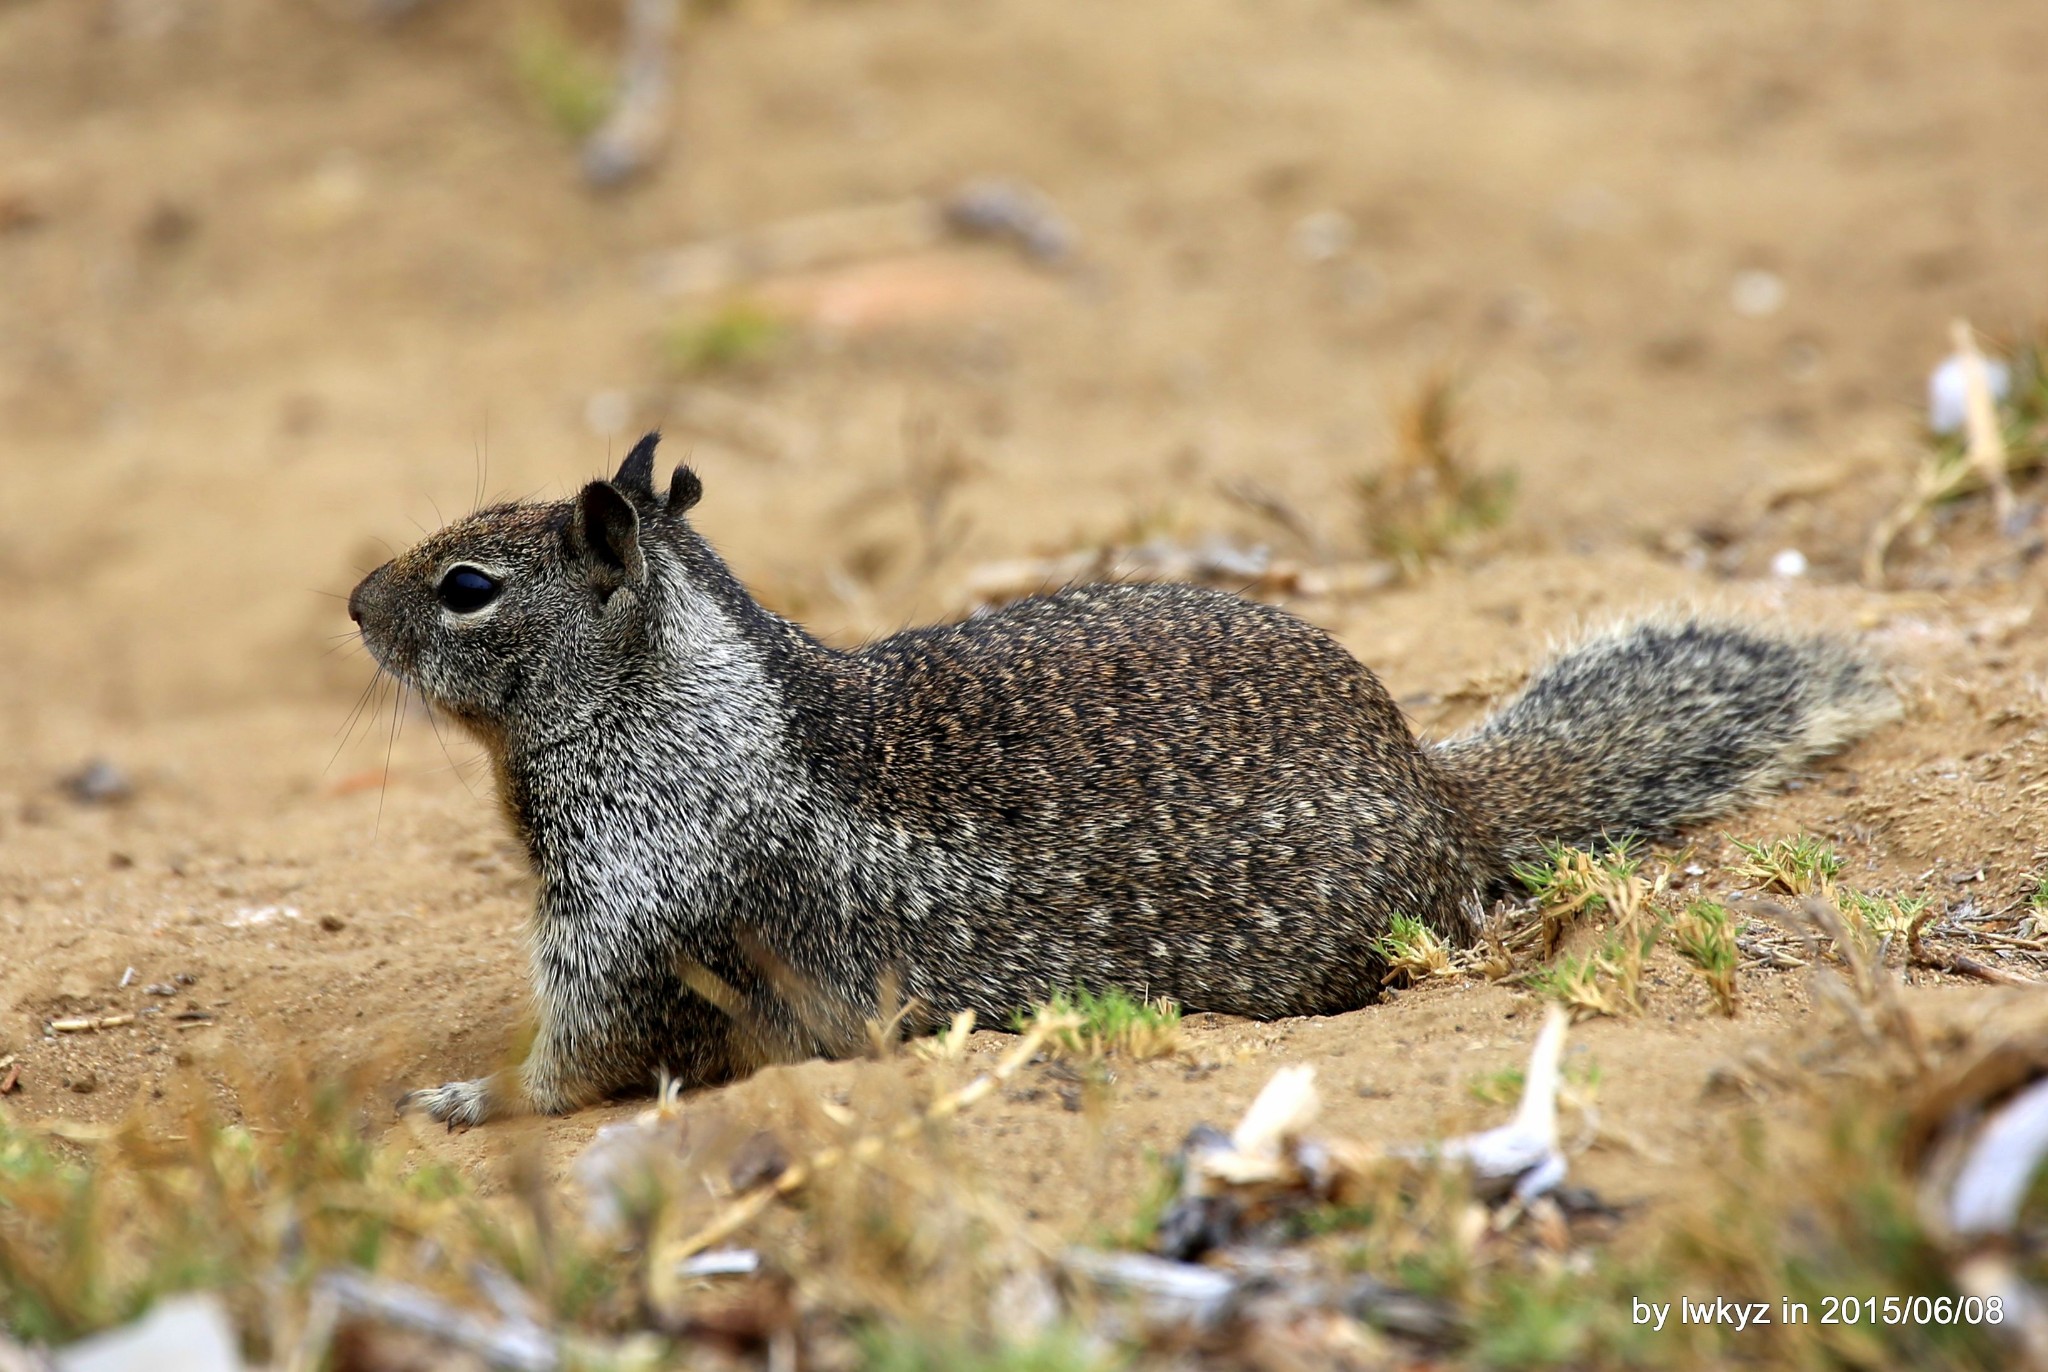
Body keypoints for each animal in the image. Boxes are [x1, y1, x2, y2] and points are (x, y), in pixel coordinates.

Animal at [344, 436, 1892, 1122]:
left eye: (468, 587)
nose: (353, 604)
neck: (682, 707)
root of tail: (1440, 793)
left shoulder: (632, 909)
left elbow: (583, 1061)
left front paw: (464, 1102)